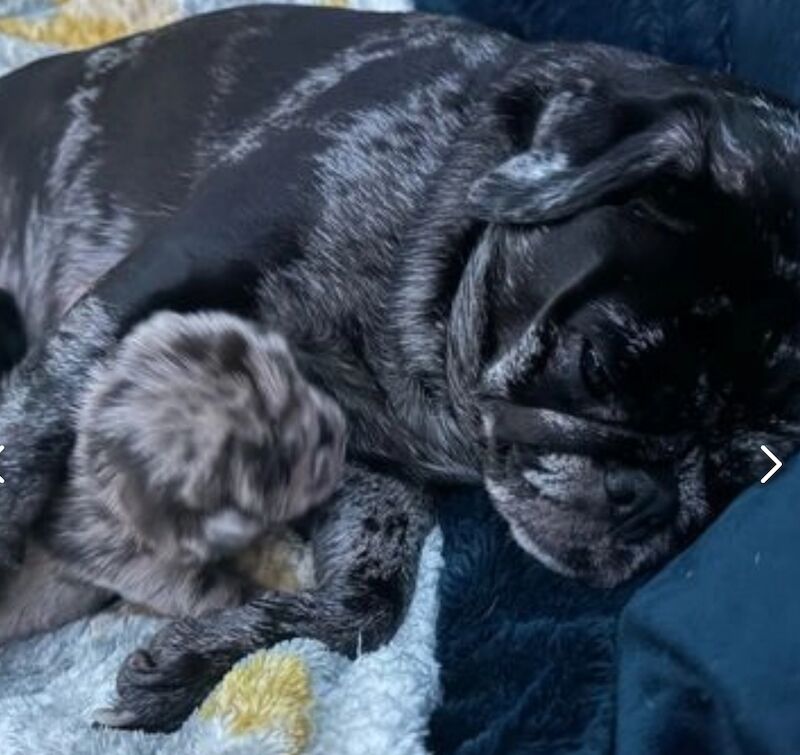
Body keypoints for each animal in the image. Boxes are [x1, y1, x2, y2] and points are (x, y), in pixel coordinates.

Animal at [1, 0, 800, 732]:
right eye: (597, 366)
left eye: (743, 472)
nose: (648, 496)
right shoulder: (162, 280)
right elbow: (27, 438)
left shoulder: (367, 472)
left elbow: (365, 606)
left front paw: (191, 661)